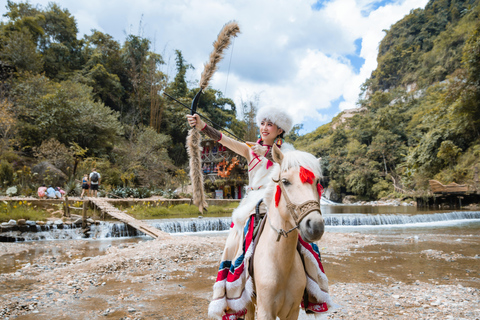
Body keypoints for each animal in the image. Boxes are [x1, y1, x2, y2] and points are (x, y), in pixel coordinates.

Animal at [246, 146, 328, 320]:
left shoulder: (292, 311)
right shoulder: (265, 311)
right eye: (285, 181)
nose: (315, 226)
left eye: (317, 181)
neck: (281, 265)